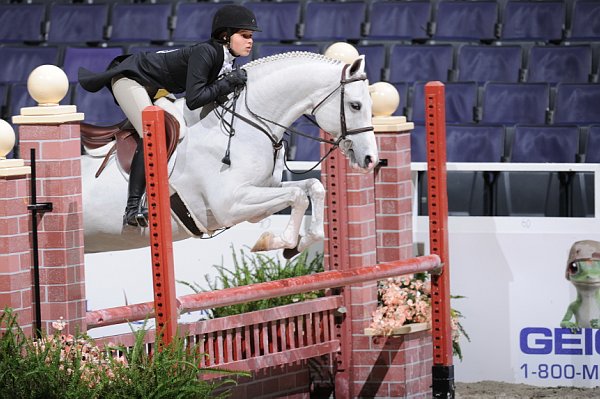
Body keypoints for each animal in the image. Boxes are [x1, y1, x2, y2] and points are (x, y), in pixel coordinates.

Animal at [80, 52, 380, 256]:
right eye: (355, 105)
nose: (370, 159)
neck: (249, 122)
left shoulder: (261, 191)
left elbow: (313, 188)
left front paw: (297, 245)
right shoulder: (231, 204)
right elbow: (297, 196)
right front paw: (272, 243)